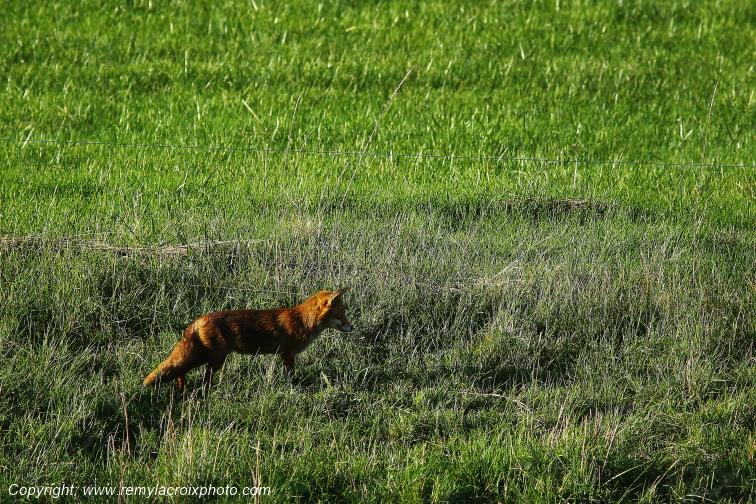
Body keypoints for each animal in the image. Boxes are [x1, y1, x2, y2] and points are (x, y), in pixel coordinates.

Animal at [143, 288, 352, 389]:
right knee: (200, 377)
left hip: (205, 357)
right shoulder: (288, 354)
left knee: (181, 370)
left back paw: (182, 388)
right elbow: (290, 376)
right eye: (341, 315)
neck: (302, 321)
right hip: (216, 358)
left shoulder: (285, 355)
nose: (352, 328)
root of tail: (199, 319)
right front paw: (293, 387)